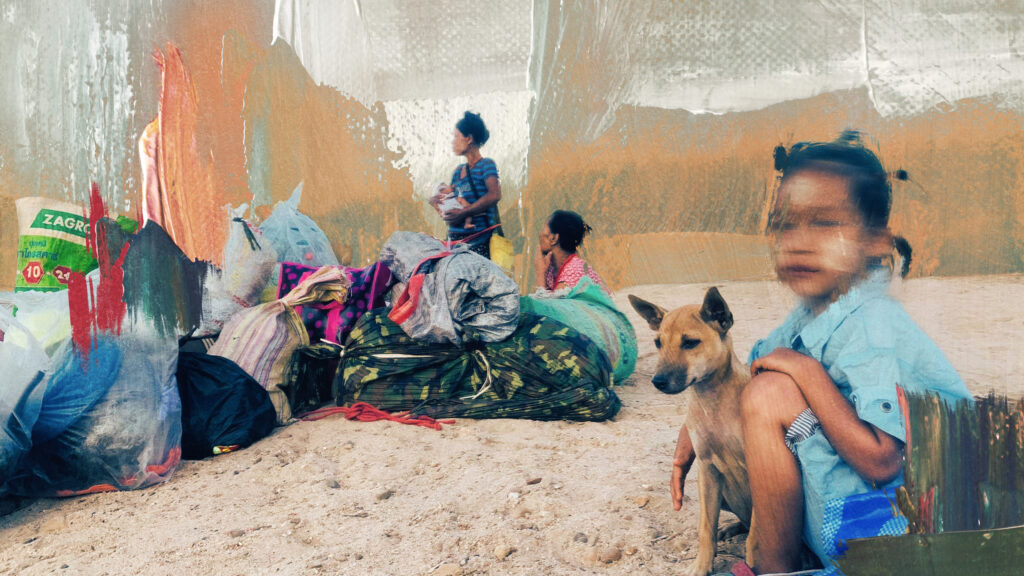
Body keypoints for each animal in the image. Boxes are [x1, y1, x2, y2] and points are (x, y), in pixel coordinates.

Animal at [626, 286, 757, 573]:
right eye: (658, 343)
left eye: (690, 342)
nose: (658, 381)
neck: (714, 402)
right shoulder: (707, 471)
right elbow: (705, 528)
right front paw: (701, 565)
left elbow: (757, 537)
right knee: (739, 520)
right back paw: (731, 528)